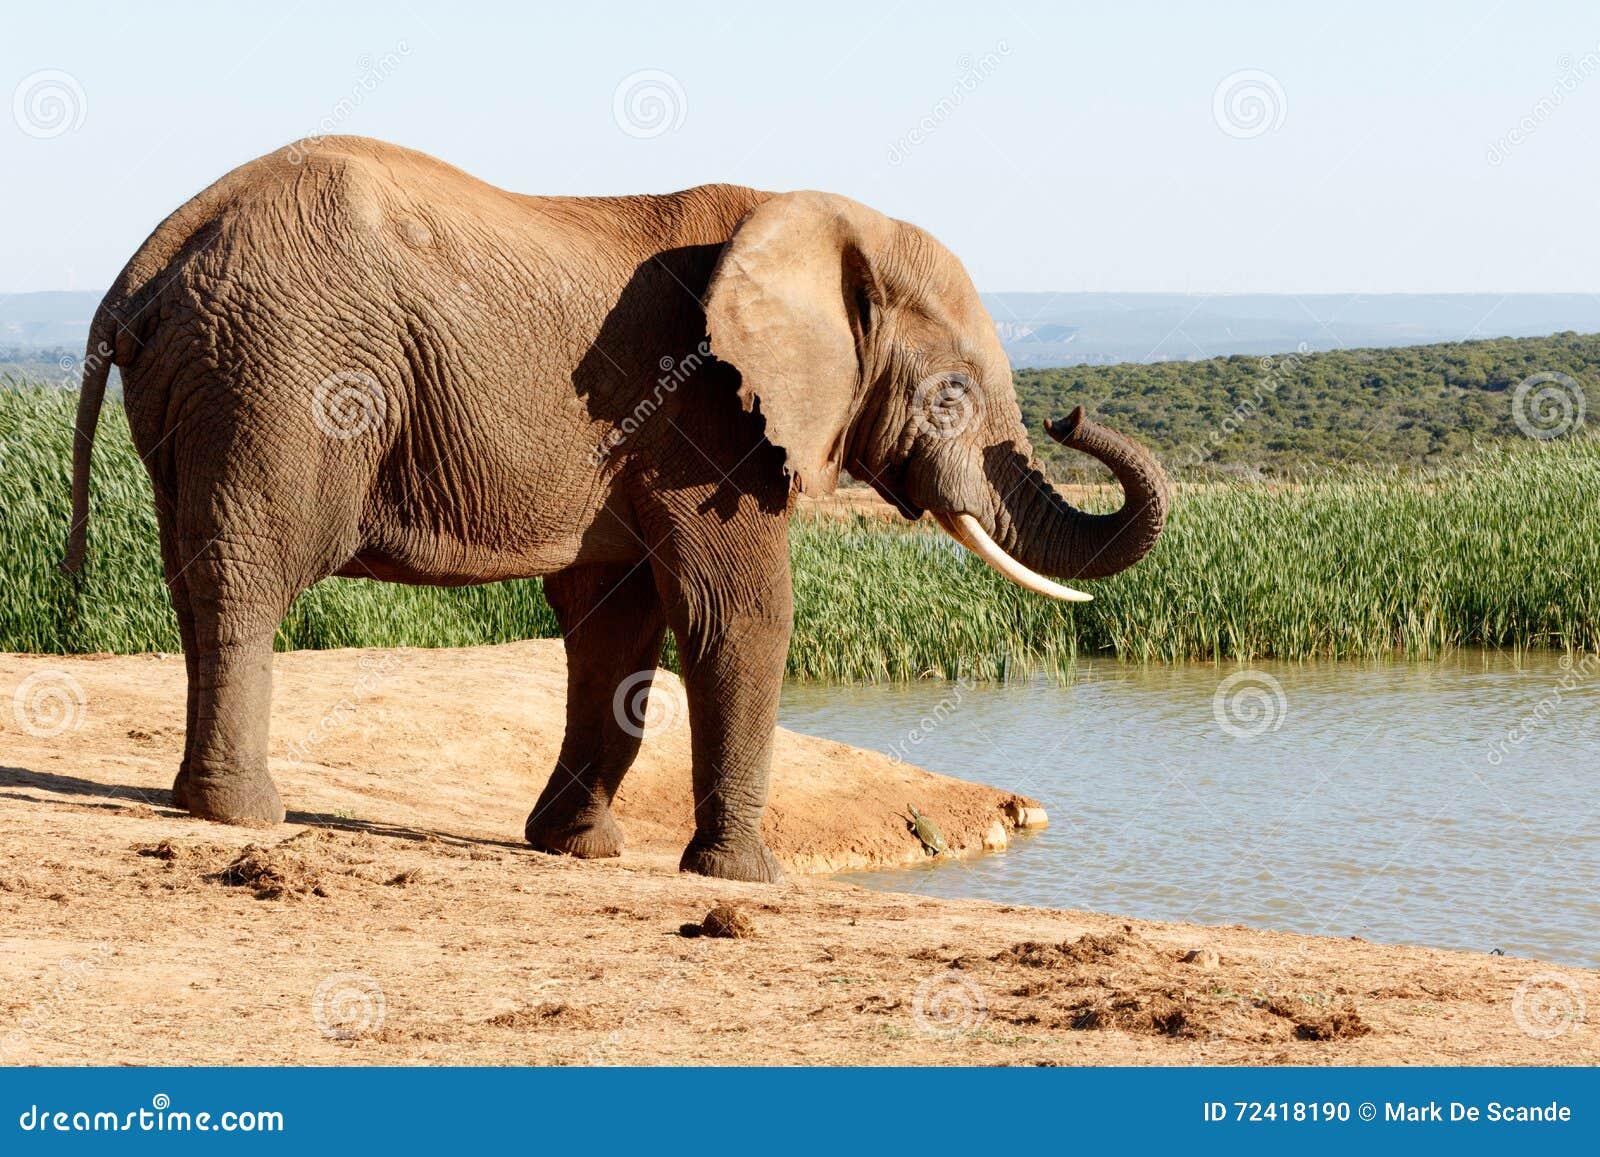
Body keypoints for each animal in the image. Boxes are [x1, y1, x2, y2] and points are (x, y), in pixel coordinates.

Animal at [62, 140, 1171, 889]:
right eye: (951, 395)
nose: (1075, 414)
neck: (809, 226)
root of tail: (148, 260)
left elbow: (617, 624)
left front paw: (578, 849)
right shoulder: (703, 413)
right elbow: (737, 613)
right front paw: (746, 879)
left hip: (208, 381)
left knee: (194, 573)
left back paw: (196, 801)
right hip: (283, 376)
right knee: (248, 574)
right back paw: (243, 814)